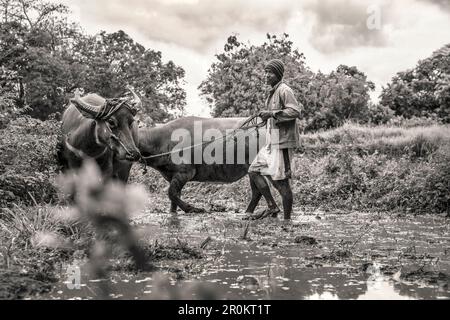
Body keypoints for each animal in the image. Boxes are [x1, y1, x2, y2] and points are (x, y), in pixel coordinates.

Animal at [138, 116, 270, 214]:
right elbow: (174, 197)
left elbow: (171, 193)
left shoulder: (185, 173)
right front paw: (173, 212)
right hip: (250, 169)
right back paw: (248, 212)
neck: (161, 140)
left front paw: (193, 209)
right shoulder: (172, 176)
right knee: (257, 192)